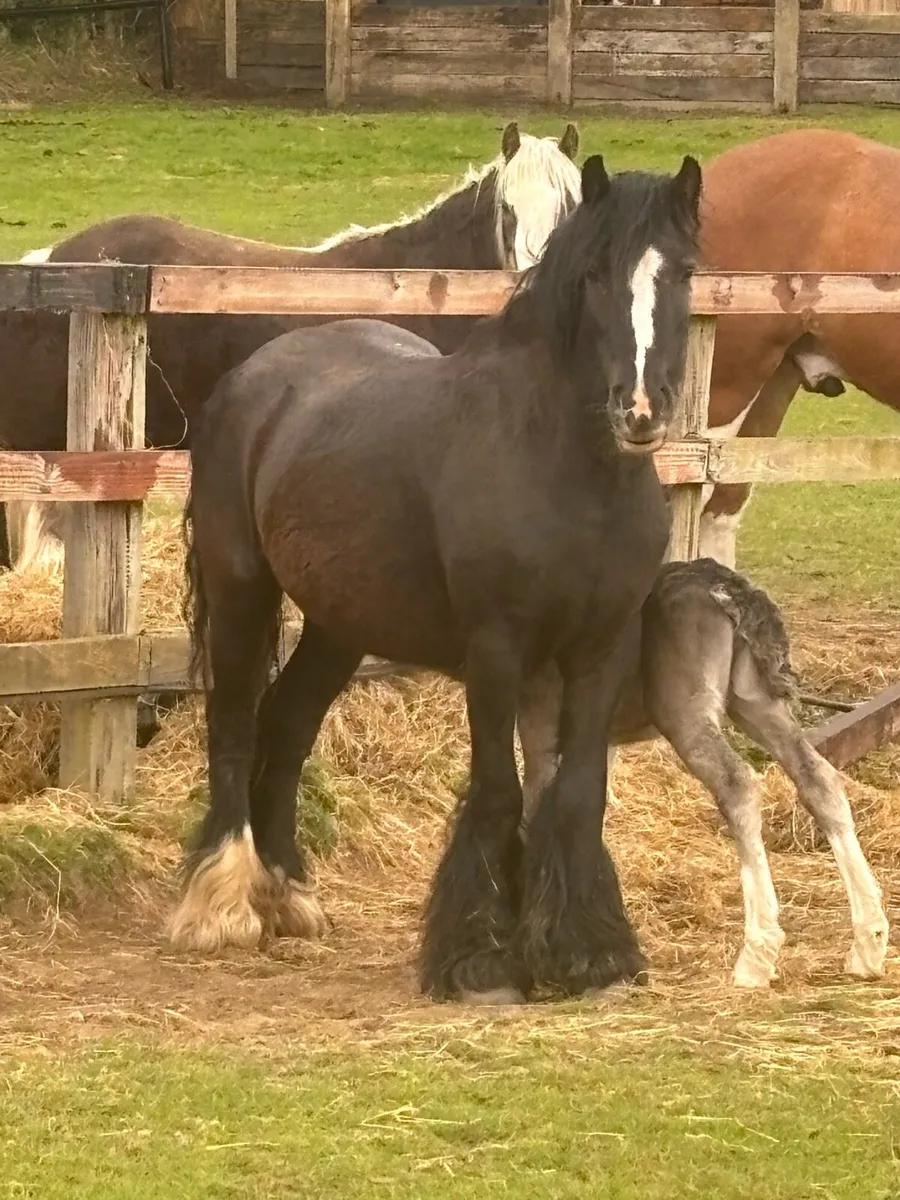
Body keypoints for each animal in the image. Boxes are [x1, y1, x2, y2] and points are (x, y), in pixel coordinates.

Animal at [176, 152, 703, 1004]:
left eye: (683, 271)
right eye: (595, 273)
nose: (640, 410)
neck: (566, 469)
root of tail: (254, 377)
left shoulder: (597, 651)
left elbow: (572, 791)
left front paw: (586, 952)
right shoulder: (496, 652)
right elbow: (498, 792)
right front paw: (479, 960)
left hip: (340, 625)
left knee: (287, 727)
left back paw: (290, 895)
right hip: (241, 593)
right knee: (232, 725)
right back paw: (220, 906)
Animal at [517, 556, 889, 989]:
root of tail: (725, 586)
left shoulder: (540, 726)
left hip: (686, 714)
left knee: (738, 784)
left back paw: (756, 957)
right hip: (754, 703)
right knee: (818, 777)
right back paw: (868, 943)